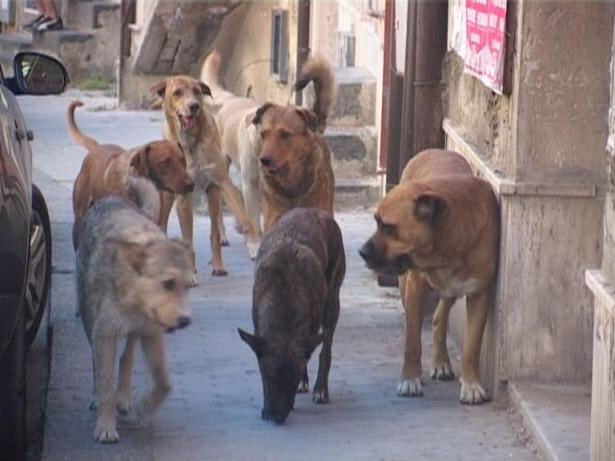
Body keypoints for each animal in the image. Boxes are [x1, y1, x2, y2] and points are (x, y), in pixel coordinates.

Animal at [153, 76, 262, 276]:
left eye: (197, 91)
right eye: (177, 92)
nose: (194, 106)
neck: (190, 143)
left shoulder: (218, 183)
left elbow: (223, 227)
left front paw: (219, 264)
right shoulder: (183, 198)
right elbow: (187, 238)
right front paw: (191, 272)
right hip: (168, 194)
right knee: (162, 221)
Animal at [360, 148, 500, 402]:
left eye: (387, 227)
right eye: (376, 222)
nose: (362, 252)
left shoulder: (479, 294)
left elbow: (472, 346)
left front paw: (471, 384)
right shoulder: (415, 288)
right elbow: (412, 341)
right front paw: (410, 378)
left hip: (451, 289)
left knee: (439, 316)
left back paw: (441, 362)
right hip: (408, 285)